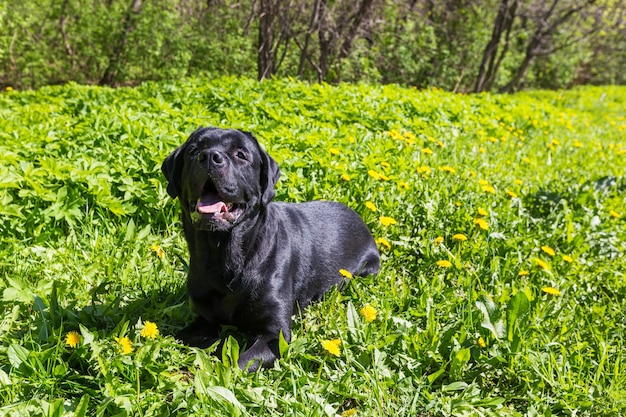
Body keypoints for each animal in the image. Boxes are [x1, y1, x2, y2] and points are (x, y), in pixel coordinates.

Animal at [161, 127, 378, 370]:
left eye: (240, 154)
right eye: (194, 150)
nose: (208, 156)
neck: (224, 256)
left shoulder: (275, 335)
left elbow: (237, 364)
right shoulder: (204, 321)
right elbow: (173, 336)